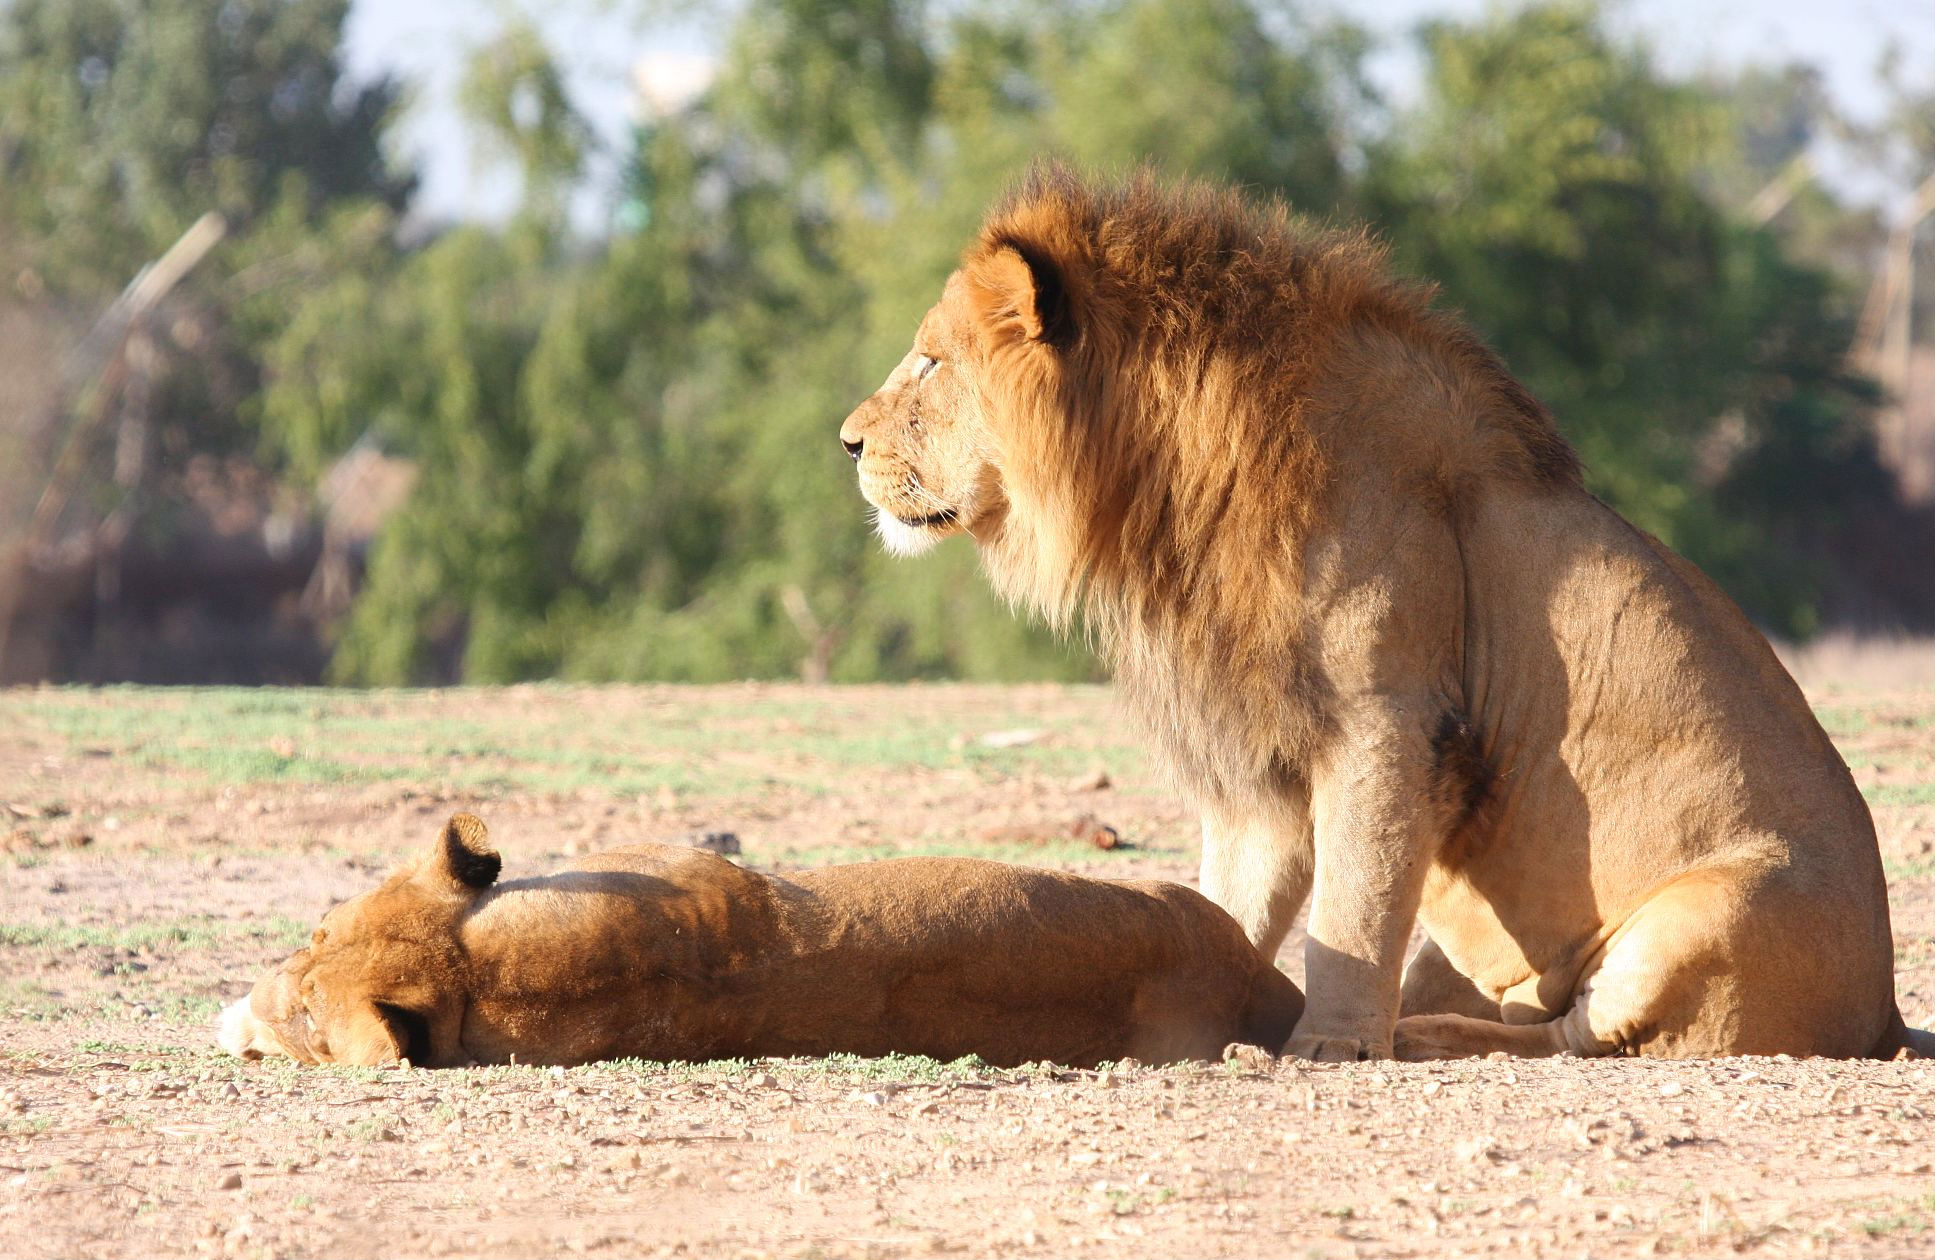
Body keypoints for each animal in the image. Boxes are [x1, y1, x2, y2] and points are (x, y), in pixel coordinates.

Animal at [839, 162, 1927, 1060]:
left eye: (931, 363)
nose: (844, 441)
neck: (1171, 494)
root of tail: (1885, 1016)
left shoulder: (1387, 723)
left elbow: (1352, 909)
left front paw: (1328, 1045)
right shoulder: (1257, 759)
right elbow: (1232, 903)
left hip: (1707, 918)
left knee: (1578, 1038)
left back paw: (1421, 1036)